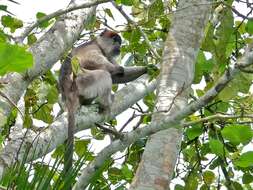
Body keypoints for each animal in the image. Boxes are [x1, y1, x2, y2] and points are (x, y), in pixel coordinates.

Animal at [58, 29, 123, 180]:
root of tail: (68, 94)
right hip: (83, 81)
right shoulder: (93, 49)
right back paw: (106, 104)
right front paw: (118, 69)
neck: (96, 43)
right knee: (104, 74)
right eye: (114, 40)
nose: (119, 46)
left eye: (119, 42)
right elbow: (102, 66)